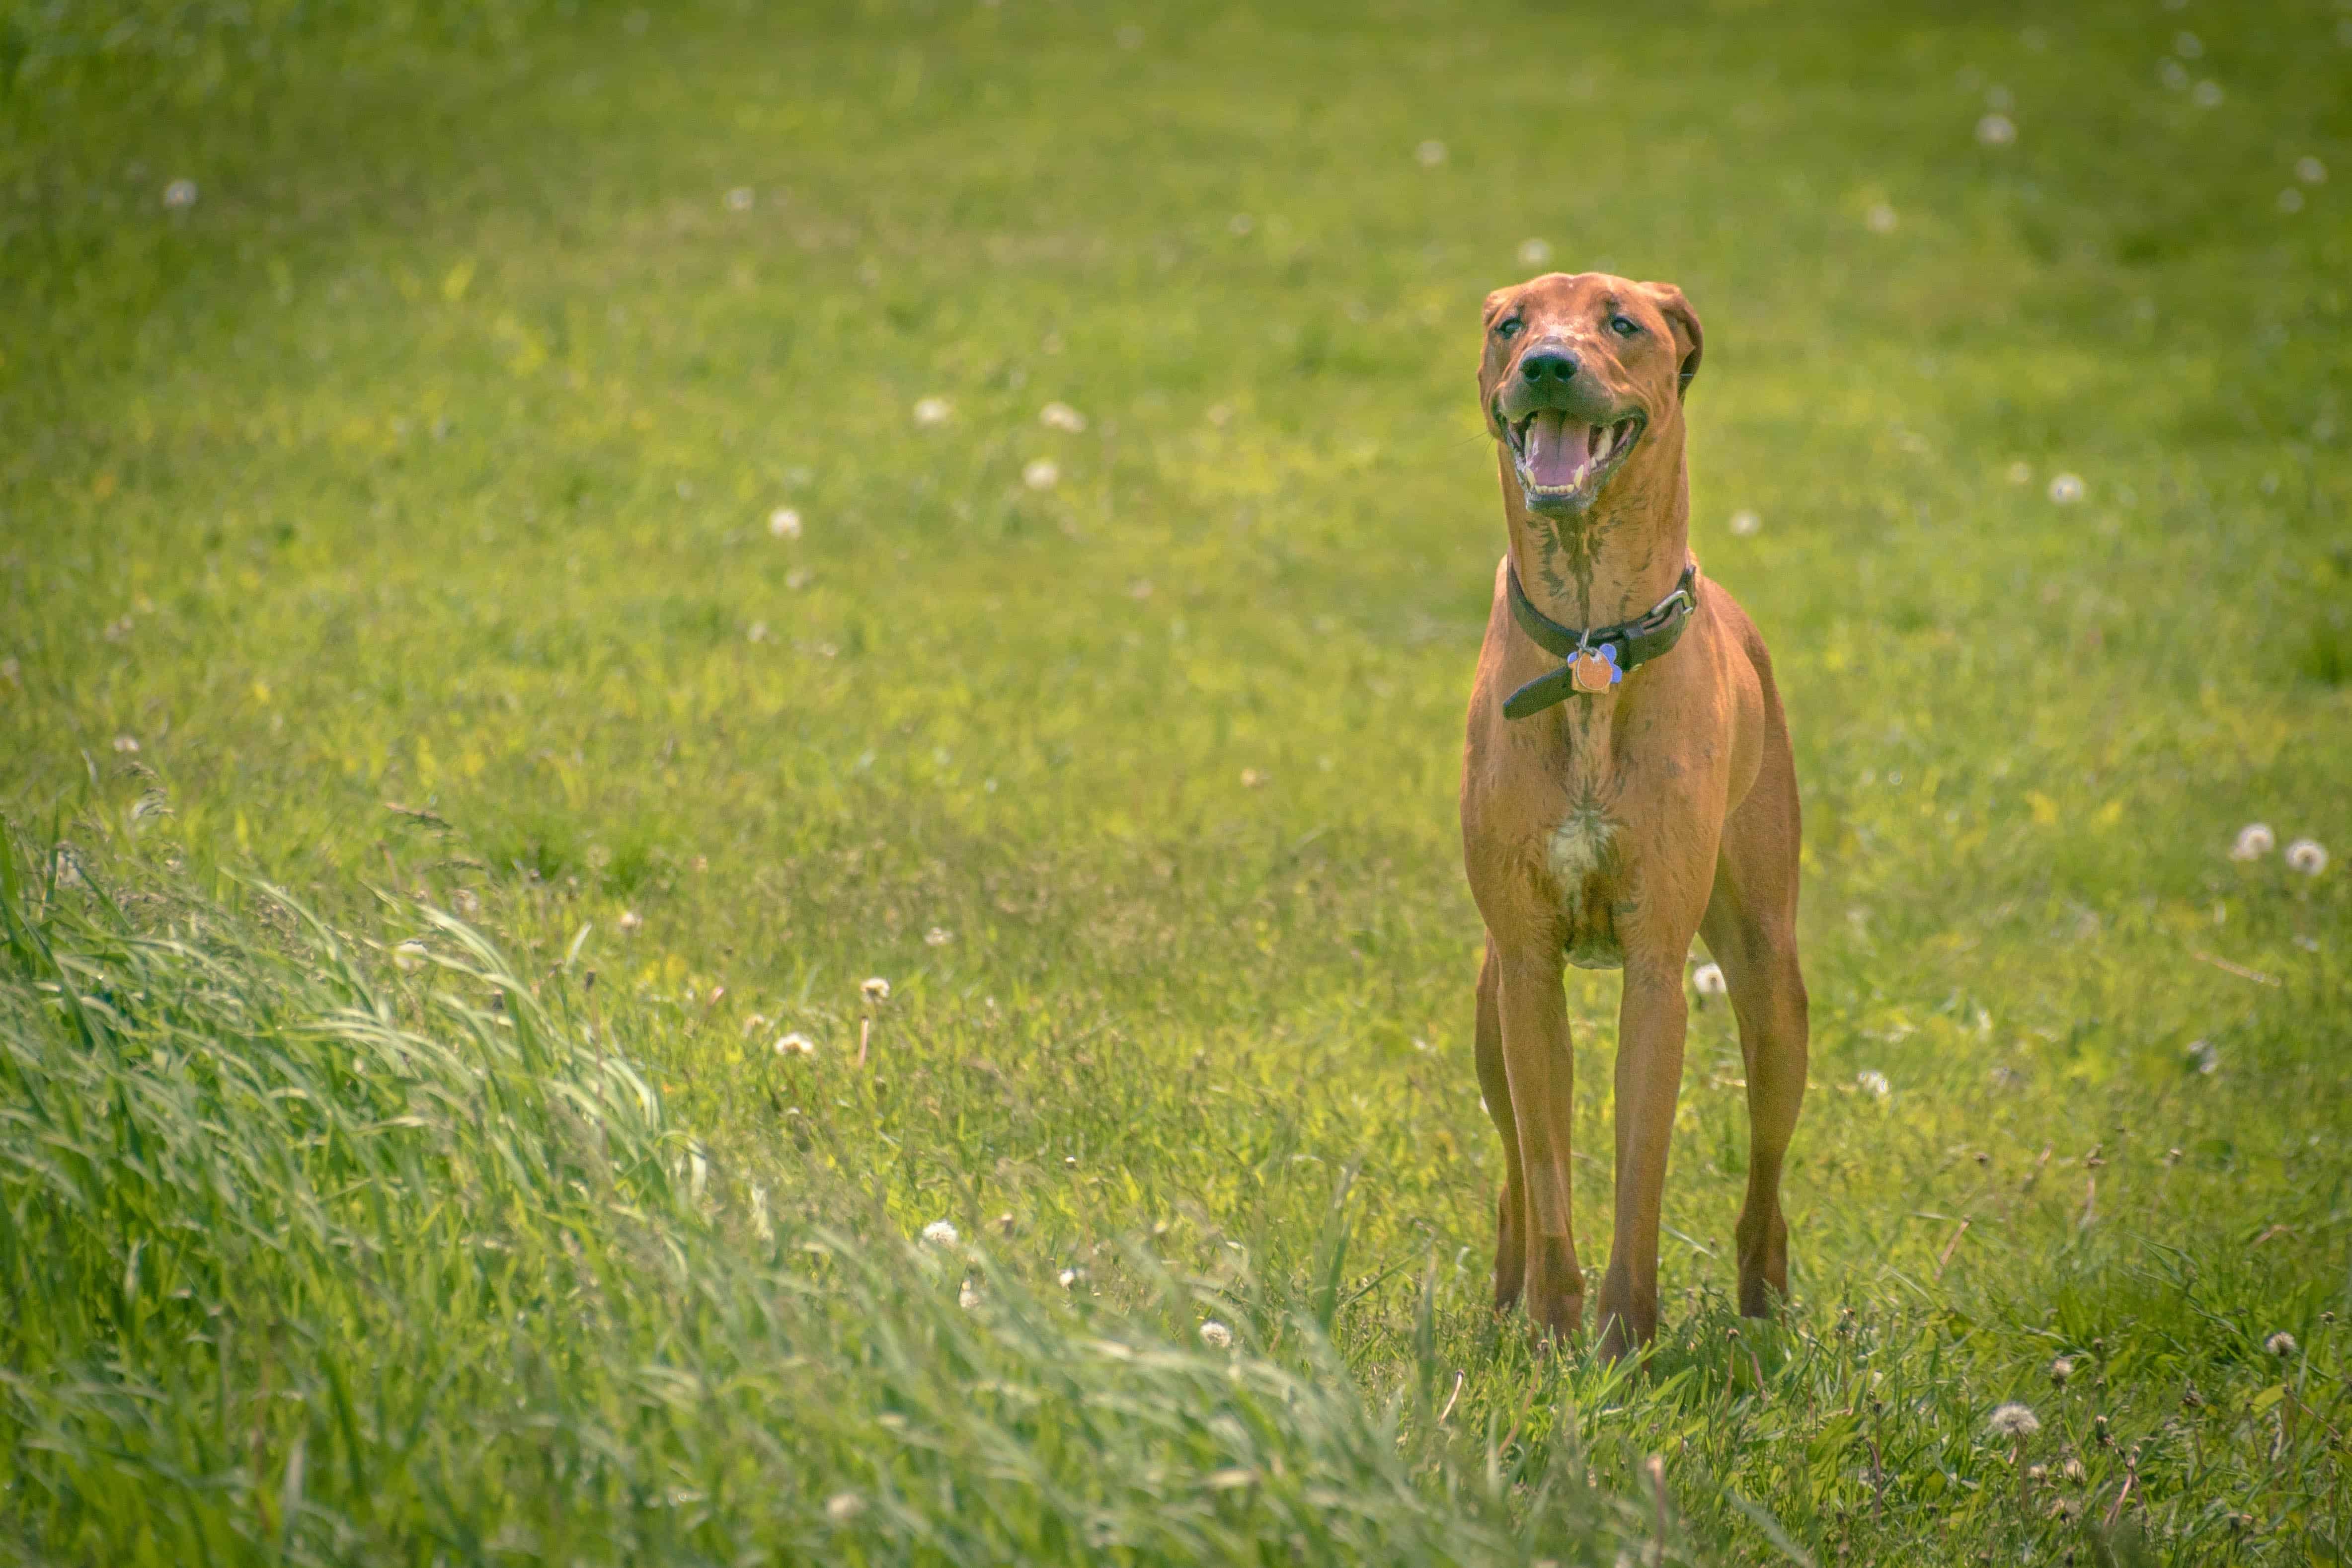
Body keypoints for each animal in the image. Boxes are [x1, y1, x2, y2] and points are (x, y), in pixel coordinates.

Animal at [1458, 272, 1806, 1363]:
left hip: (1771, 983)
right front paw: (1552, 1338)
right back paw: (1505, 1297)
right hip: (1485, 1006)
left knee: (1765, 1185)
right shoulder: (1526, 965)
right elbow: (1549, 1173)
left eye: (1622, 322)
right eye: (1510, 325)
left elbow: (1639, 1173)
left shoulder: (1658, 964)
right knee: (1513, 1175)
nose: (1547, 365)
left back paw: (1764, 1315)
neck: (1589, 643)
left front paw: (1623, 1343)